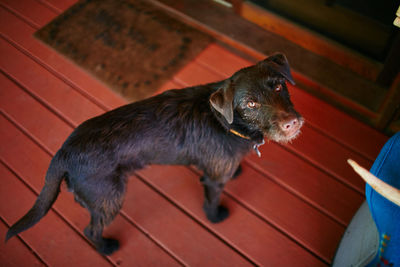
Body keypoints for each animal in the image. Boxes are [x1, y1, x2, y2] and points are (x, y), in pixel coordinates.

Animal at [4, 52, 304, 255]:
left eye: (279, 85)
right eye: (250, 104)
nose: (292, 123)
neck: (225, 122)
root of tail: (63, 152)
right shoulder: (213, 180)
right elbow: (211, 200)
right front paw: (214, 217)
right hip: (109, 197)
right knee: (91, 229)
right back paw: (106, 247)